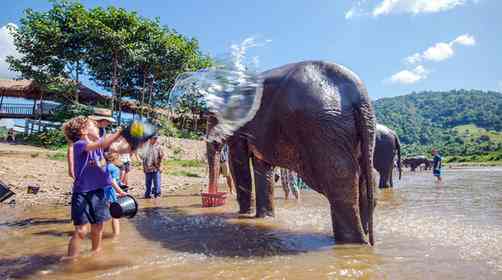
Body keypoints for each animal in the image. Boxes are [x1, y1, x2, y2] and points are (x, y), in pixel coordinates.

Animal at [205, 60, 376, 244]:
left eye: (212, 118)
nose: (211, 195)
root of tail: (359, 93)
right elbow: (261, 166)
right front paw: (264, 218)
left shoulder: (240, 125)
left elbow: (239, 162)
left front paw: (243, 215)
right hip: (357, 129)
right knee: (365, 177)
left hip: (322, 127)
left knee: (338, 177)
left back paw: (353, 243)